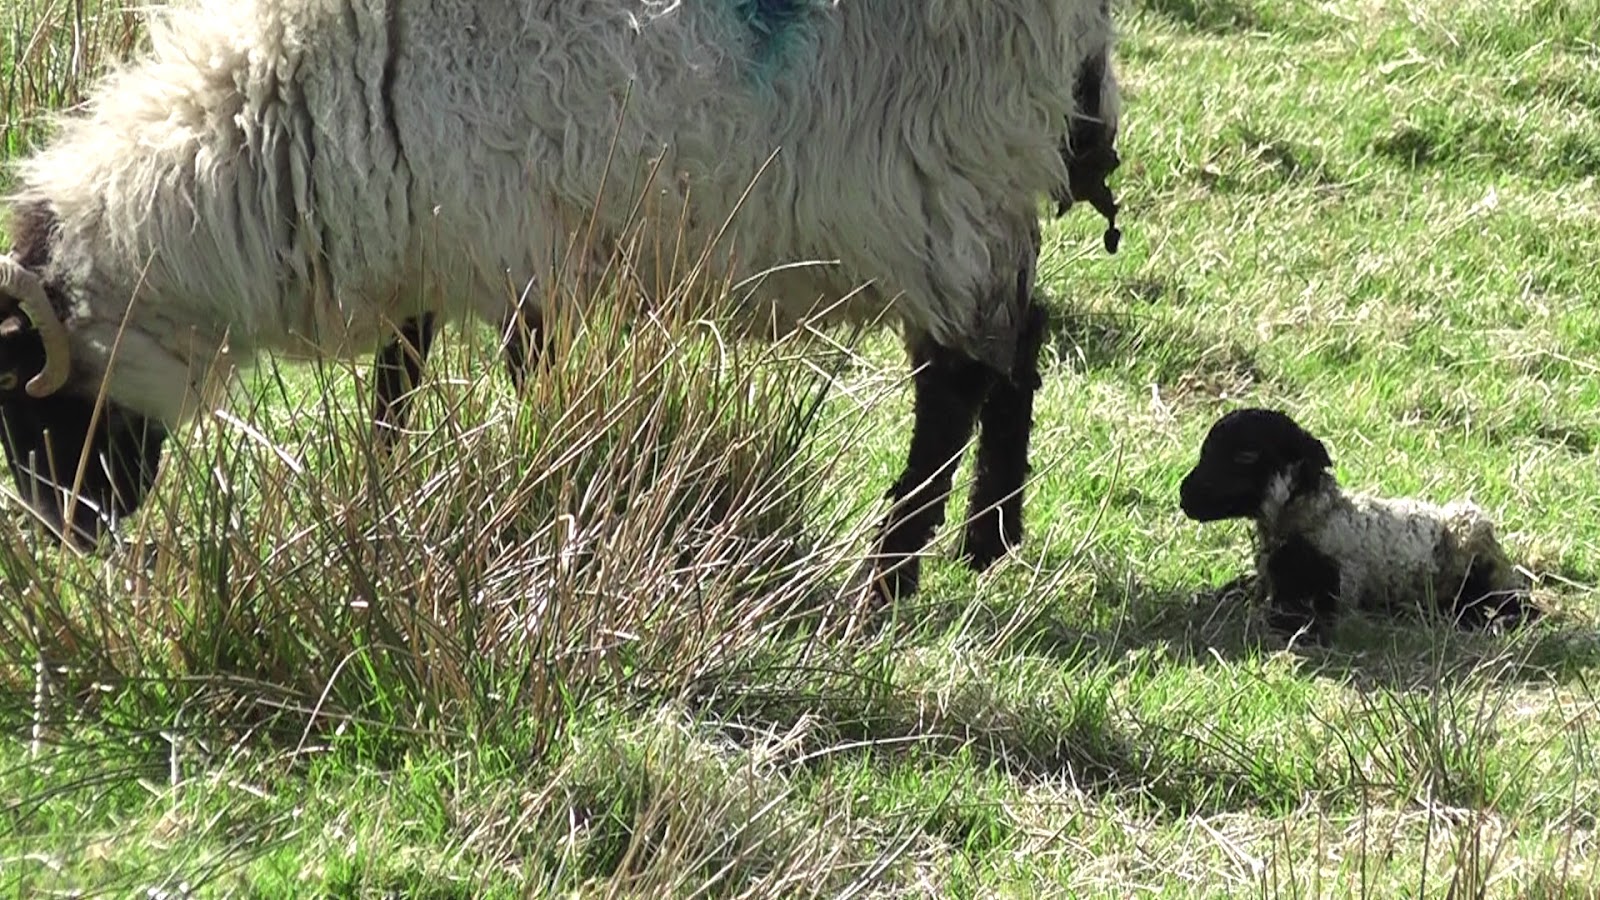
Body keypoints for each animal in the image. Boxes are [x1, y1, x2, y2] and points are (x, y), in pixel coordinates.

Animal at [0, 0, 1124, 598]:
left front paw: (544, 496)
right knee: (1021, 343)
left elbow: (525, 381)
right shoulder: (426, 225)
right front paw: (381, 492)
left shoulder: (513, 241)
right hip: (983, 193)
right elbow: (398, 380)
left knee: (956, 382)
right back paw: (989, 539)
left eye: (19, 402)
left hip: (940, 177)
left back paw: (889, 578)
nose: (67, 539)